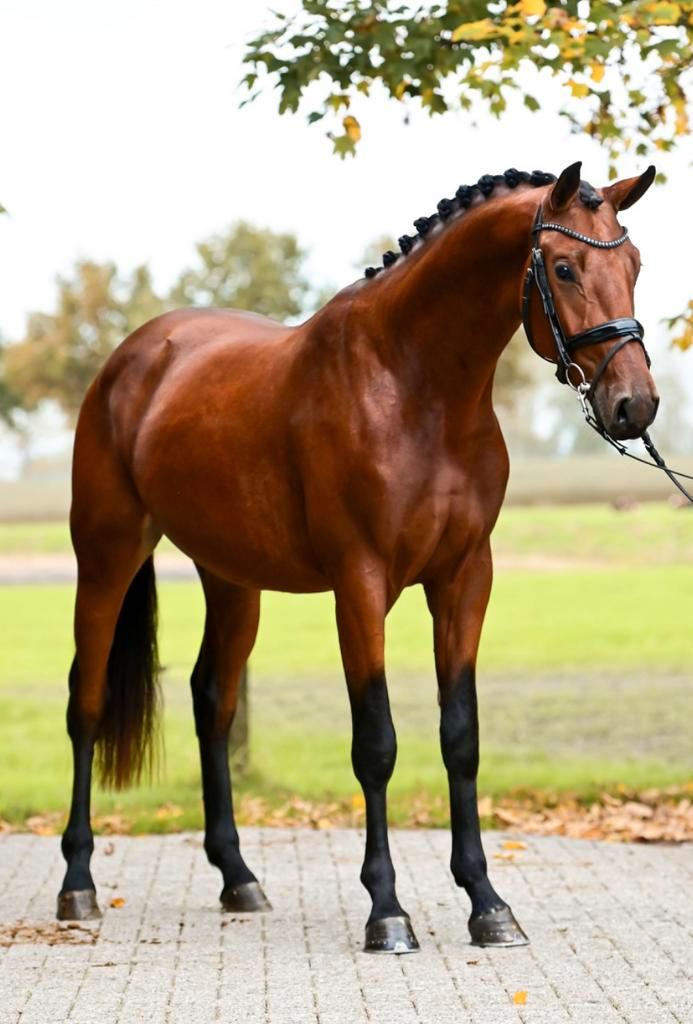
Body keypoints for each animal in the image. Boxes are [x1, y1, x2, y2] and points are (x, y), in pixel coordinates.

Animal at [57, 160, 658, 953]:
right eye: (562, 267)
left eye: (634, 264)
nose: (635, 405)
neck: (415, 386)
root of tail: (129, 359)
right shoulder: (361, 584)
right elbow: (376, 742)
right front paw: (388, 913)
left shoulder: (464, 577)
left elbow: (460, 737)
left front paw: (487, 903)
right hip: (107, 555)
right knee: (87, 704)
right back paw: (78, 884)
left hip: (232, 581)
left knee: (212, 700)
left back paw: (238, 877)